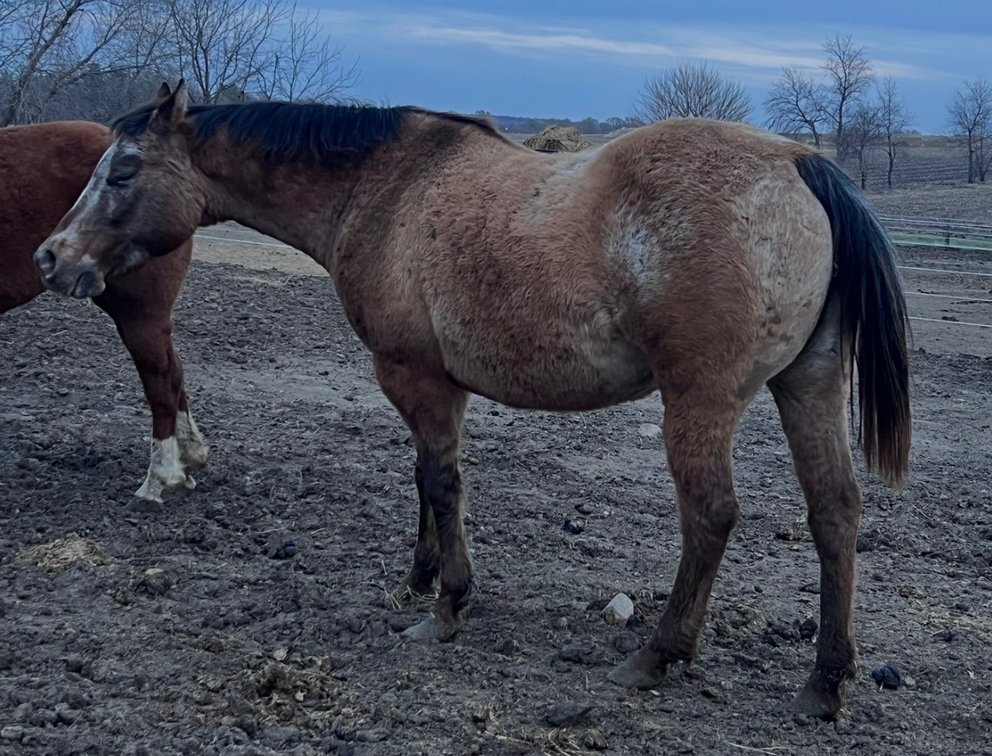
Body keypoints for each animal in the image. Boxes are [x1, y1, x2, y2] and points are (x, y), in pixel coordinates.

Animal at [34, 81, 911, 719]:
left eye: (122, 172)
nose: (51, 257)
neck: (386, 189)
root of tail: (798, 164)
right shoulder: (426, 383)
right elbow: (427, 481)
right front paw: (421, 577)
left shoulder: (413, 373)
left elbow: (442, 481)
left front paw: (448, 602)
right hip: (808, 386)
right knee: (835, 512)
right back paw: (824, 682)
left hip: (699, 402)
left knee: (711, 516)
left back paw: (657, 653)